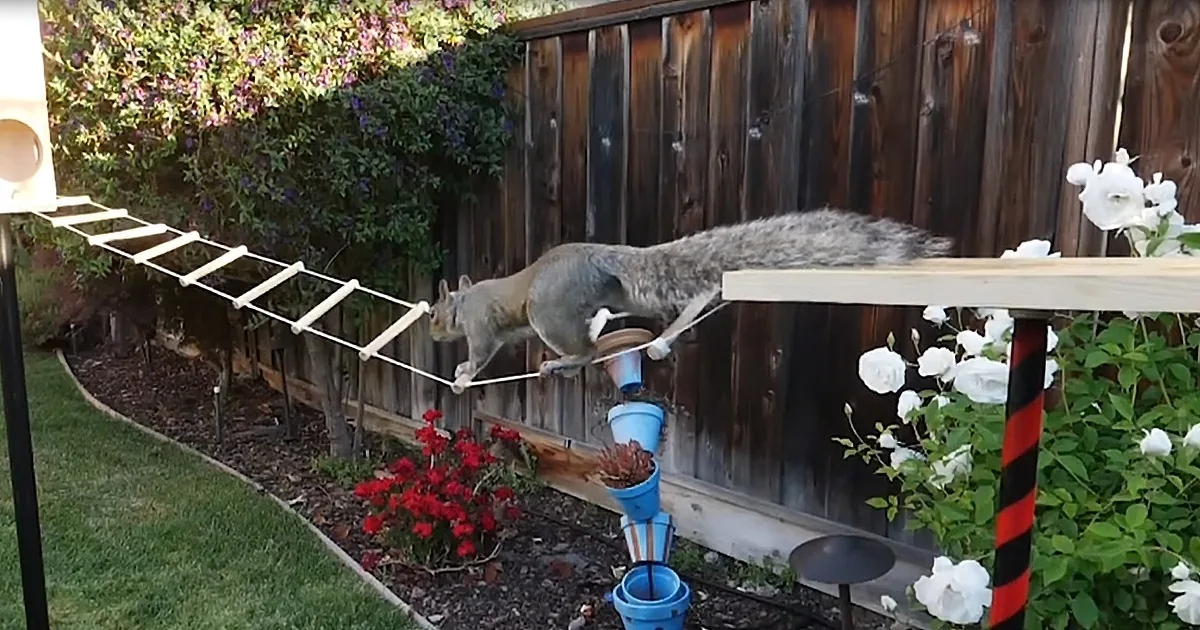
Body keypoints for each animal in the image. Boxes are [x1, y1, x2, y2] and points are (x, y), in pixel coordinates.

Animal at [429, 207, 954, 393]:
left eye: (435, 314)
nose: (432, 333)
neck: (465, 299)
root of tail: (605, 256)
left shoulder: (481, 326)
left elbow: (480, 352)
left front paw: (462, 374)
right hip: (620, 297)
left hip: (547, 312)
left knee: (584, 352)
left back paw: (565, 362)